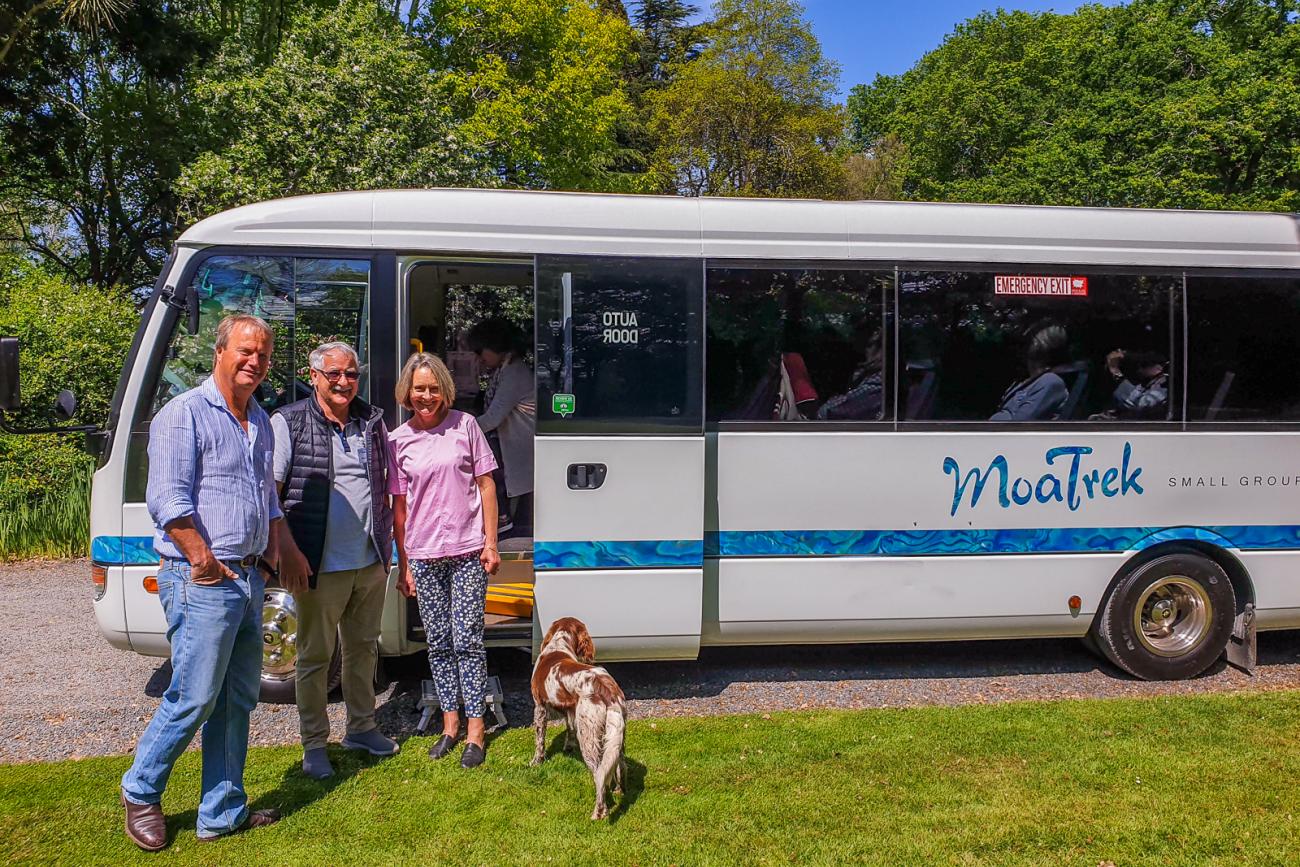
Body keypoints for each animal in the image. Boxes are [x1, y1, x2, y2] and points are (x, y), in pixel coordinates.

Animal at [530, 616, 626, 821]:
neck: (558, 646)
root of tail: (607, 689)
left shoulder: (539, 707)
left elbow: (539, 741)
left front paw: (536, 762)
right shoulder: (571, 710)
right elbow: (569, 729)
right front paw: (567, 747)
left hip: (589, 738)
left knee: (599, 774)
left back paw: (599, 812)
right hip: (617, 734)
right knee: (619, 765)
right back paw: (619, 791)